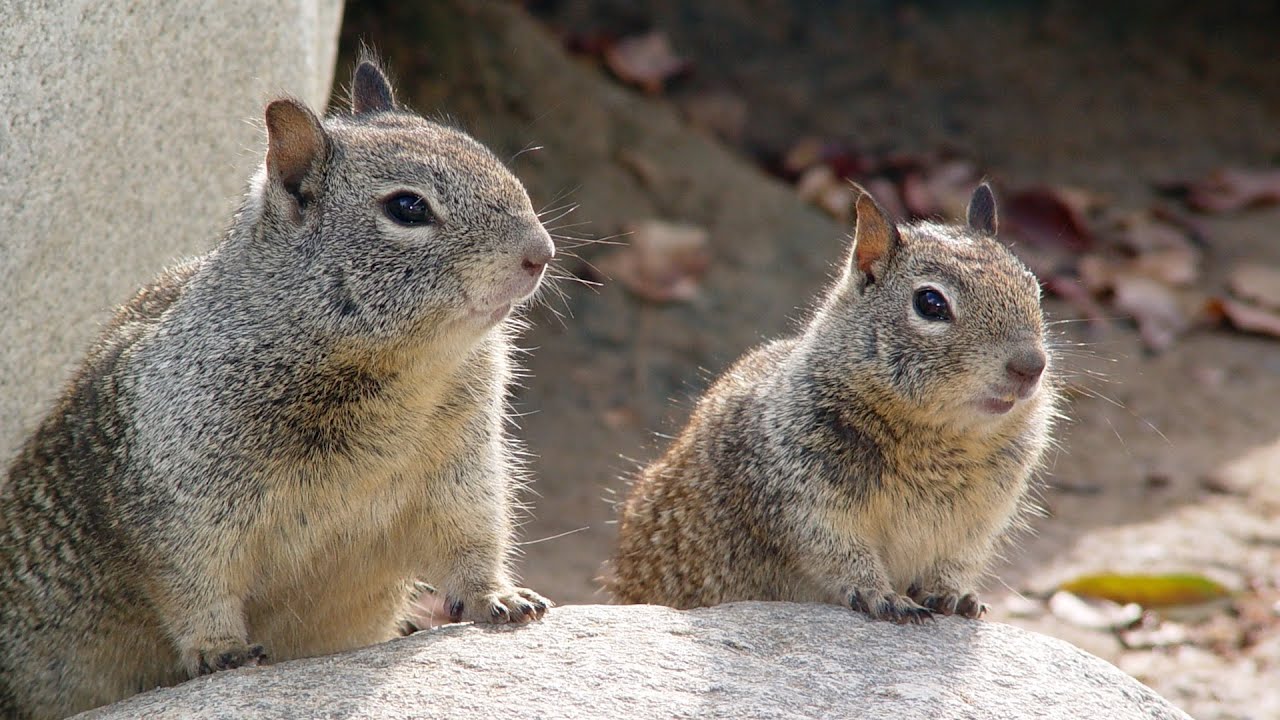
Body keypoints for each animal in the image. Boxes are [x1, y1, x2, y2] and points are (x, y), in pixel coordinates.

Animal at [0, 58, 553, 719]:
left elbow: (472, 540)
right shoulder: (184, 500)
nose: (542, 253)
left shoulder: (462, 469)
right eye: (408, 208)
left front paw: (500, 598)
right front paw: (221, 650)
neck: (405, 371)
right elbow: (194, 583)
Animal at [606, 184, 1058, 624]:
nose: (1031, 366)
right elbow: (838, 554)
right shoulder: (803, 496)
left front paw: (954, 594)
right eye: (930, 303)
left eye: (1033, 288)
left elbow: (959, 561)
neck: (941, 438)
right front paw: (880, 595)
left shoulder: (980, 521)